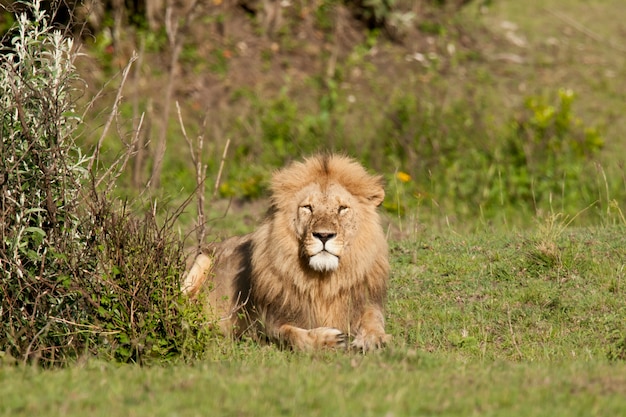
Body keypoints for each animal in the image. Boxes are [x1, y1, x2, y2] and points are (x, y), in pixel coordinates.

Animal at [180, 154, 388, 350]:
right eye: (307, 208)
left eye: (342, 208)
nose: (323, 235)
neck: (323, 281)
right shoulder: (264, 325)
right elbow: (292, 335)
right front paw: (329, 339)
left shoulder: (366, 302)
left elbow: (374, 319)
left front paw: (373, 339)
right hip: (200, 260)